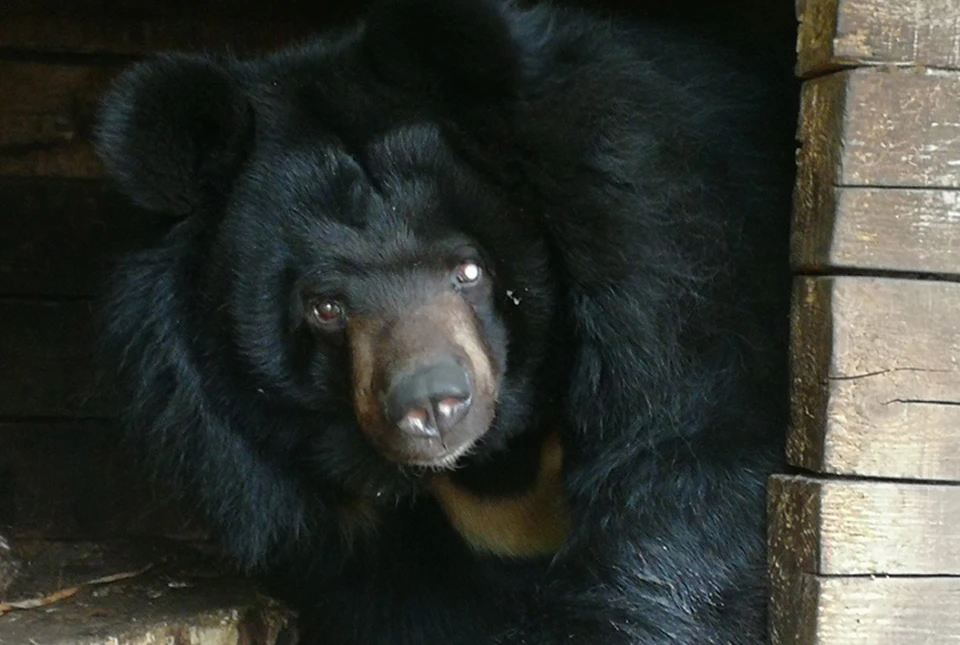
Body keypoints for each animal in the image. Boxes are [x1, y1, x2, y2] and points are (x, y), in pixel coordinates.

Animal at [95, 0, 796, 640]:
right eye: (325, 307)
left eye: (468, 268)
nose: (432, 404)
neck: (495, 465)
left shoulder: (664, 269)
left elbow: (679, 479)